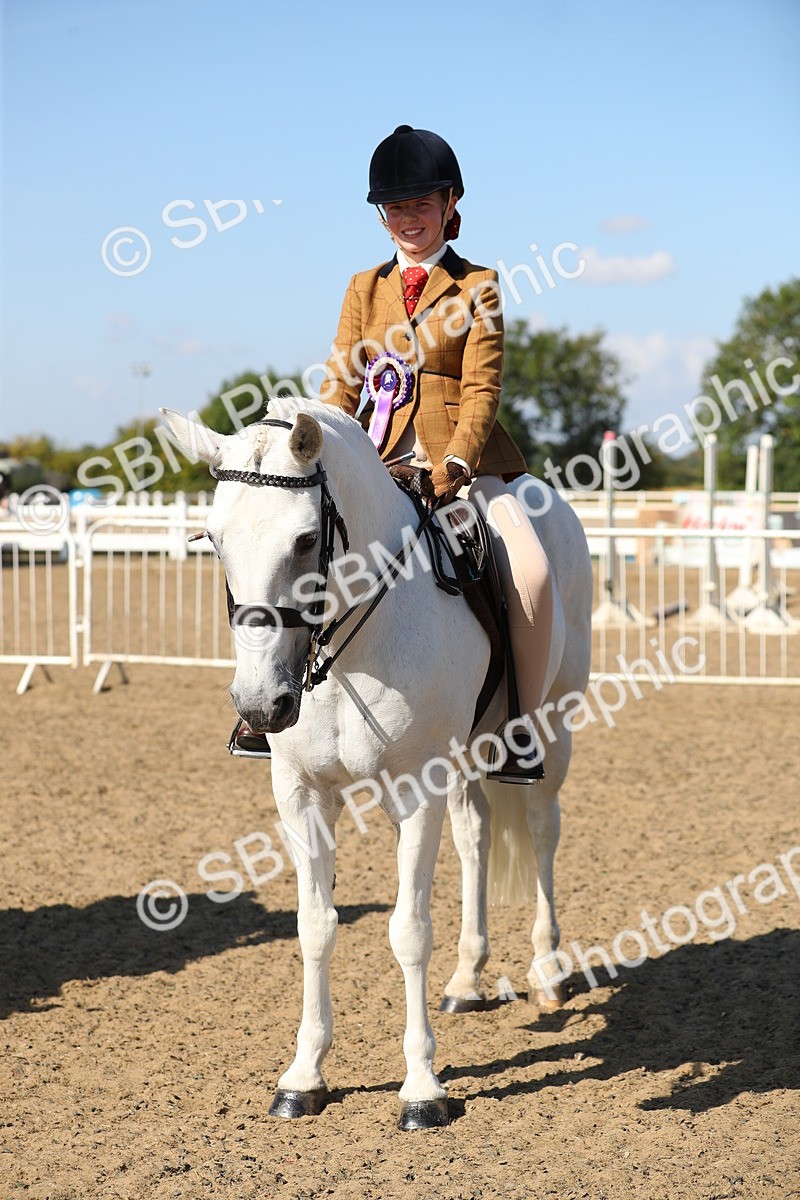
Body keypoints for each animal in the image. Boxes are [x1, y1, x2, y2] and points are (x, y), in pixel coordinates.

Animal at [161, 396, 593, 1130]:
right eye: (214, 540)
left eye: (306, 540)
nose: (261, 704)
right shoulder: (301, 794)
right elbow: (315, 927)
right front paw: (303, 1076)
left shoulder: (415, 792)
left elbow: (408, 931)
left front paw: (422, 1088)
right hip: (464, 757)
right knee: (476, 837)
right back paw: (467, 979)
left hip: (551, 730)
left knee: (542, 832)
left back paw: (548, 972)